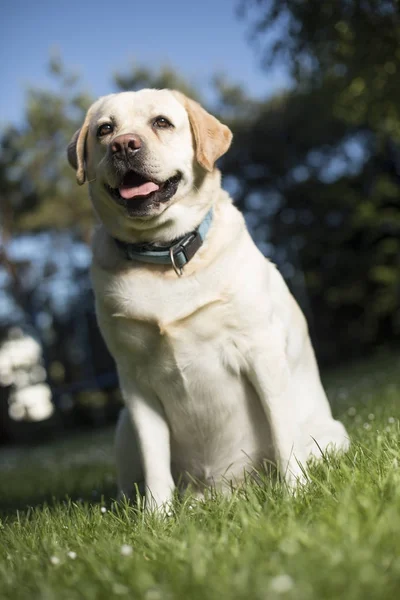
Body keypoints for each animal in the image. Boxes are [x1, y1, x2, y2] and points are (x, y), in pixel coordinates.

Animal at [67, 89, 348, 510]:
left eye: (161, 122)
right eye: (105, 129)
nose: (123, 144)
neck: (164, 253)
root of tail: (222, 492)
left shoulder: (261, 352)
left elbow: (283, 434)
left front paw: (296, 492)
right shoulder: (134, 380)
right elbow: (155, 464)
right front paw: (156, 517)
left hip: (332, 436)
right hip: (124, 425)